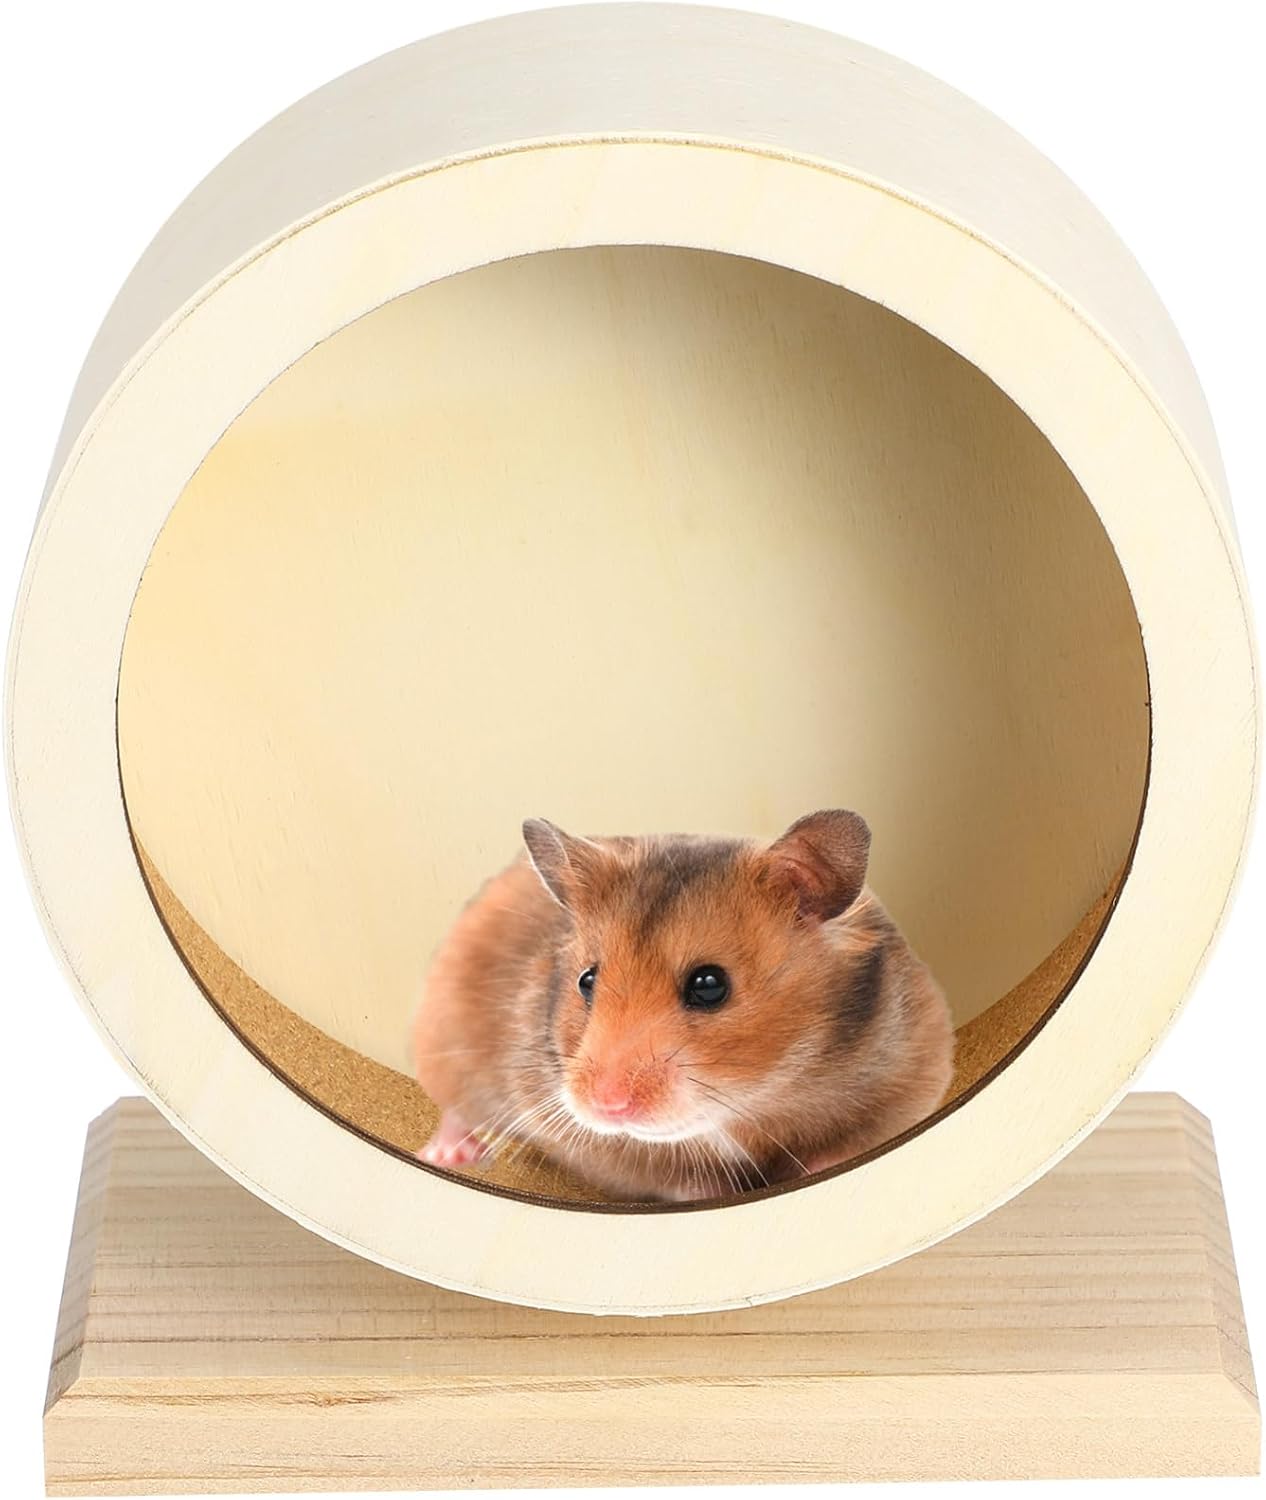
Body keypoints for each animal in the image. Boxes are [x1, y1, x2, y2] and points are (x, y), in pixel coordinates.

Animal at [411, 810, 953, 1202]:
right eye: (587, 980)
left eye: (709, 985)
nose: (606, 1106)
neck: (751, 1105)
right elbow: (678, 1177)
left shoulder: (914, 1073)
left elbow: (853, 1145)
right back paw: (446, 1154)